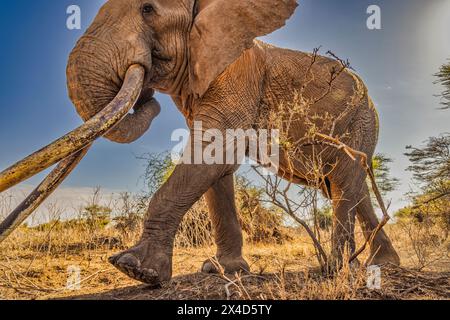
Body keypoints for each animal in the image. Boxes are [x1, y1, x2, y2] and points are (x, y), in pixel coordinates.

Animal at [0, 0, 400, 284]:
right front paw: (223, 271)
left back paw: (336, 270)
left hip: (360, 121)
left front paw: (135, 269)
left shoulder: (236, 74)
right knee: (346, 186)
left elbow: (212, 150)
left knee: (344, 180)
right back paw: (383, 265)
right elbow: (217, 166)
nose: (146, 97)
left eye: (148, 9)